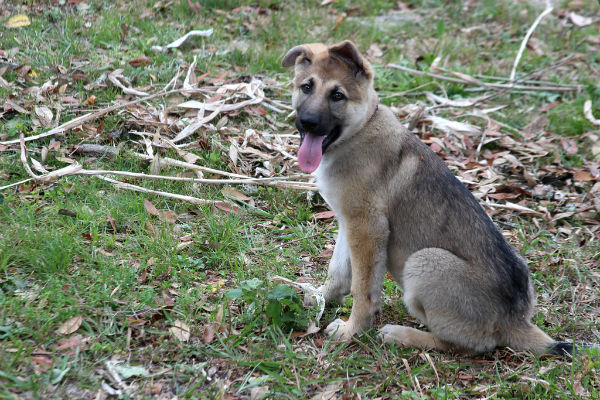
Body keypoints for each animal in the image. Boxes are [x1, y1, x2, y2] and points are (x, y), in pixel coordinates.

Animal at [284, 41, 576, 356]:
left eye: (337, 95)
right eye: (306, 87)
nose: (307, 123)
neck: (360, 130)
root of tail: (514, 322)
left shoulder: (367, 228)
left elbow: (363, 290)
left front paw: (352, 330)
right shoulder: (348, 223)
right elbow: (338, 271)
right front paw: (321, 297)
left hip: (425, 261)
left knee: (465, 345)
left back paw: (402, 335)